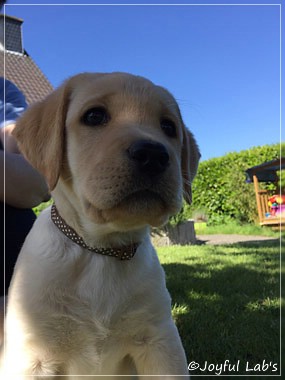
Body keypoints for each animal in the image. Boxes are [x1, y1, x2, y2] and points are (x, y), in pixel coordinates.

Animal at [4, 72, 200, 378]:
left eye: (168, 126)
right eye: (94, 116)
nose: (153, 154)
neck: (102, 249)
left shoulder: (160, 342)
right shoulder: (31, 356)